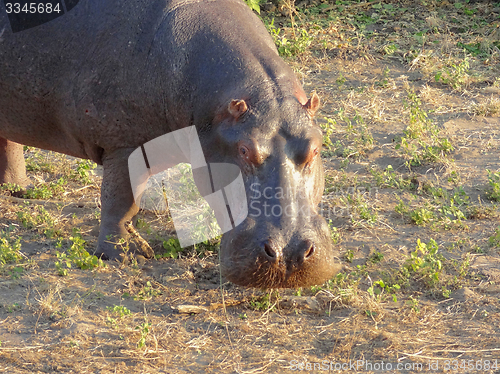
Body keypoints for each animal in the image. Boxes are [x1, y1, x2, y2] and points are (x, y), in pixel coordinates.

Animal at [0, 0, 340, 288]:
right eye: (244, 150)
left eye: (315, 148)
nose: (289, 254)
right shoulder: (124, 144)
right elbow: (121, 197)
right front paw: (125, 254)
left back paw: (21, 189)